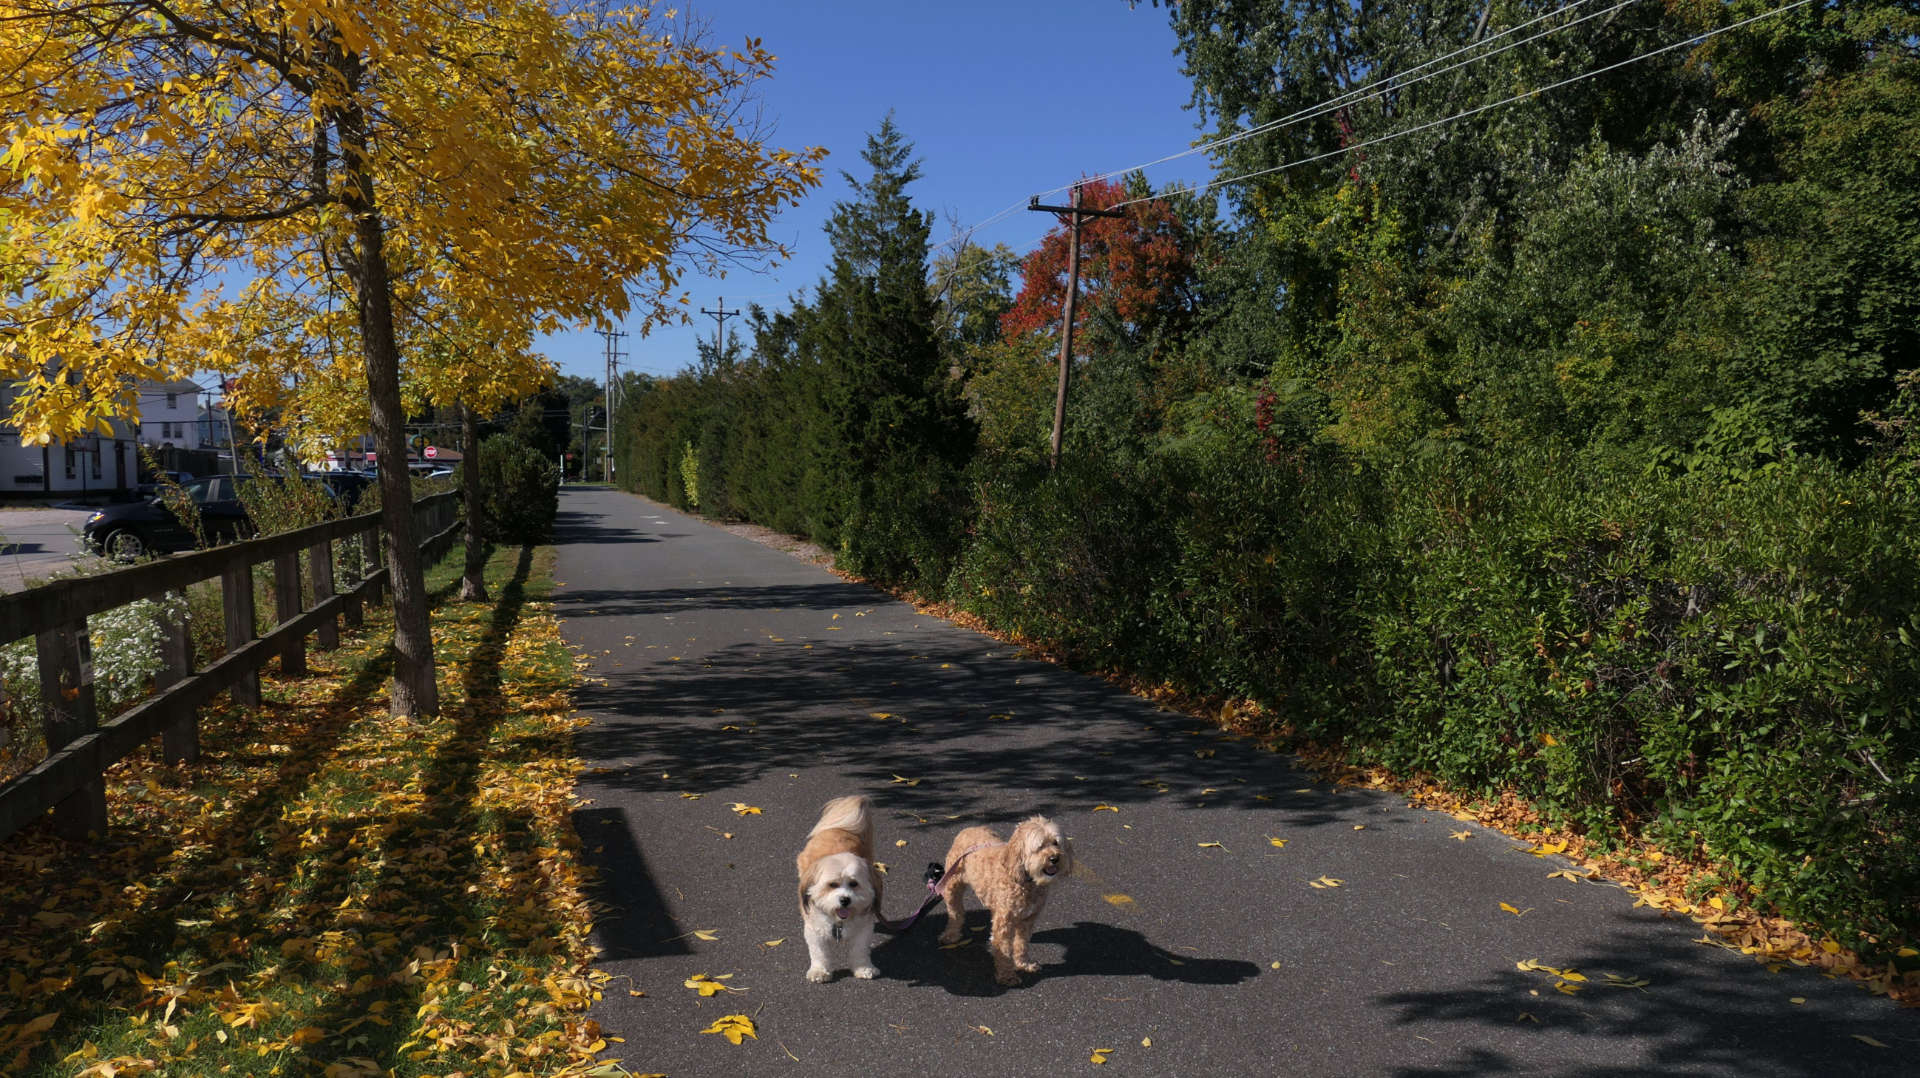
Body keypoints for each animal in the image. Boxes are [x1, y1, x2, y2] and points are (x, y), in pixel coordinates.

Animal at [794, 795, 883, 980]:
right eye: (832, 885)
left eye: (854, 884)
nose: (845, 900)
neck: (839, 921)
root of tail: (837, 828)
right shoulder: (814, 930)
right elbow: (819, 952)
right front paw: (819, 971)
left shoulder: (863, 929)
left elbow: (860, 950)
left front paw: (864, 968)